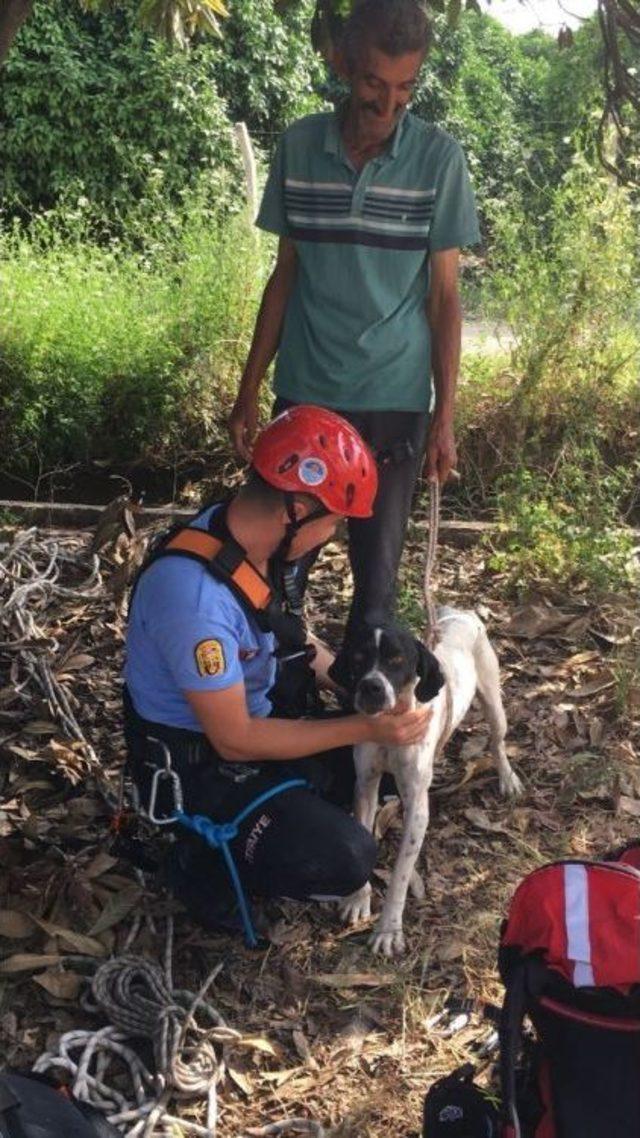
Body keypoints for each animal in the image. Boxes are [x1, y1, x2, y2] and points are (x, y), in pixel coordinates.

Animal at [337, 609, 521, 955]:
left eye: (397, 659)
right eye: (358, 657)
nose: (370, 687)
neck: (391, 726)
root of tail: (459, 613)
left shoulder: (416, 810)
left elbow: (399, 875)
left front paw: (388, 929)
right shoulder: (365, 786)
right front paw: (358, 899)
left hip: (494, 703)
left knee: (497, 741)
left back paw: (507, 777)